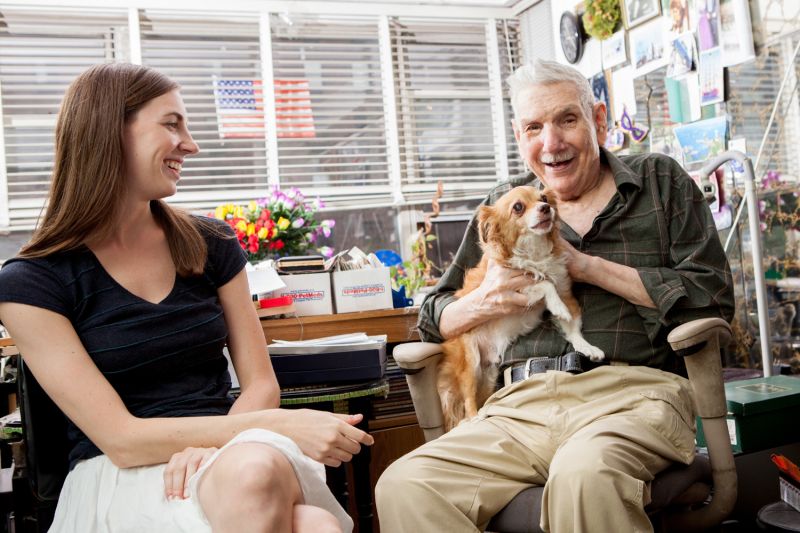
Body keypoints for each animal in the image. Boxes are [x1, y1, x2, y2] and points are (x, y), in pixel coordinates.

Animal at [440, 185, 604, 430]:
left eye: (544, 198)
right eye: (518, 207)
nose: (545, 208)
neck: (534, 251)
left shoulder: (564, 288)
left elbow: (573, 326)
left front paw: (587, 347)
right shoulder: (512, 288)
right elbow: (544, 284)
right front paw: (557, 306)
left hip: (489, 374)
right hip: (471, 362)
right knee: (468, 397)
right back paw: (474, 417)